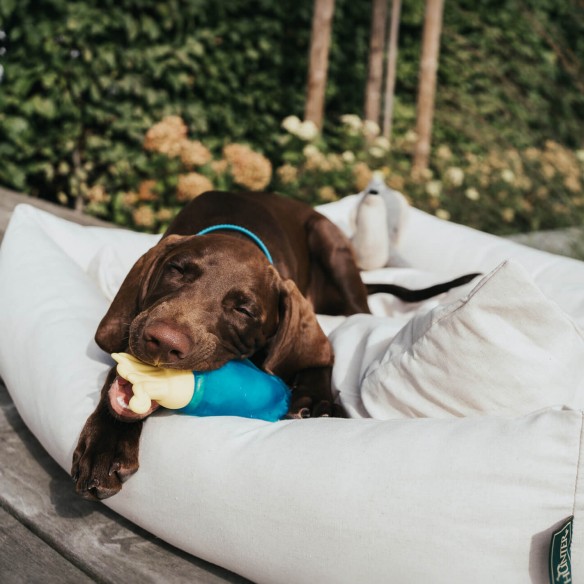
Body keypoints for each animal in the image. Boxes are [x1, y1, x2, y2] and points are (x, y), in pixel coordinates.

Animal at [70, 189, 476, 500]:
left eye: (244, 309)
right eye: (177, 270)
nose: (162, 343)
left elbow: (320, 355)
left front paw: (315, 399)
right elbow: (119, 379)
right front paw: (106, 443)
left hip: (330, 243)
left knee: (359, 313)